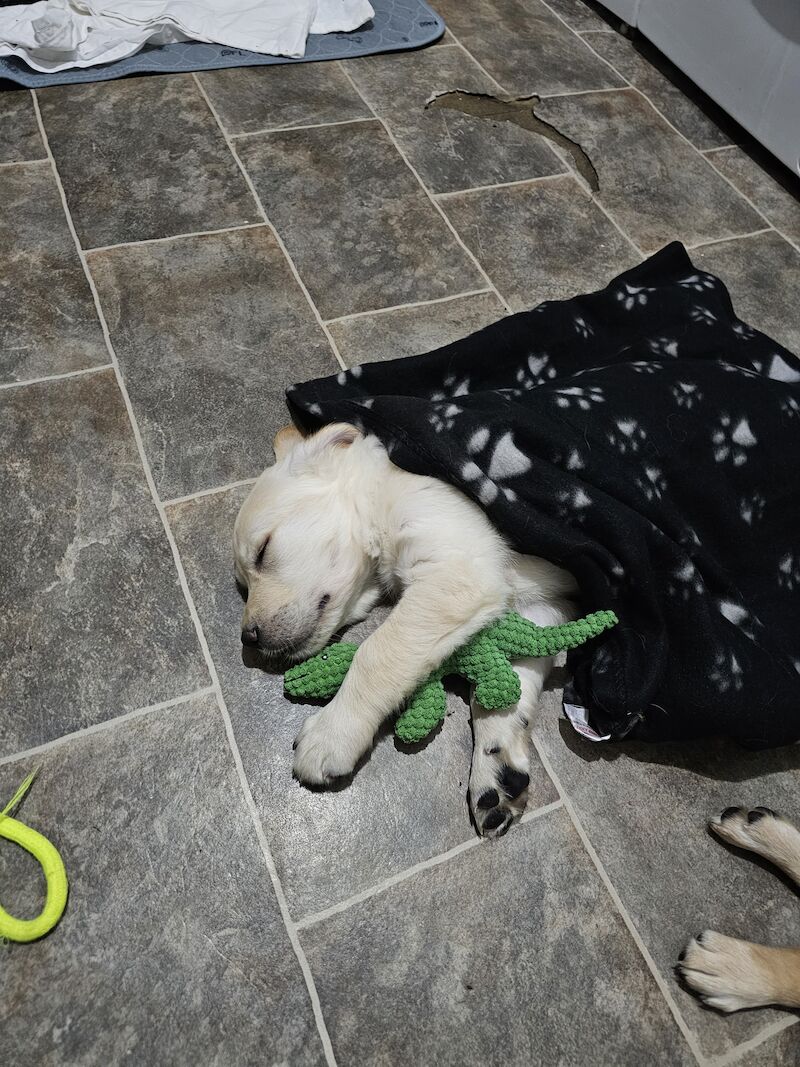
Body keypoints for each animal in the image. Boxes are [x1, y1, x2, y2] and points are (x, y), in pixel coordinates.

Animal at [231, 420, 576, 836]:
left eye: (263, 551)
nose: (248, 638)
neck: (381, 498)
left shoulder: (458, 572)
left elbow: (376, 654)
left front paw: (333, 732)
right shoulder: (540, 606)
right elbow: (504, 688)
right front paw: (496, 767)